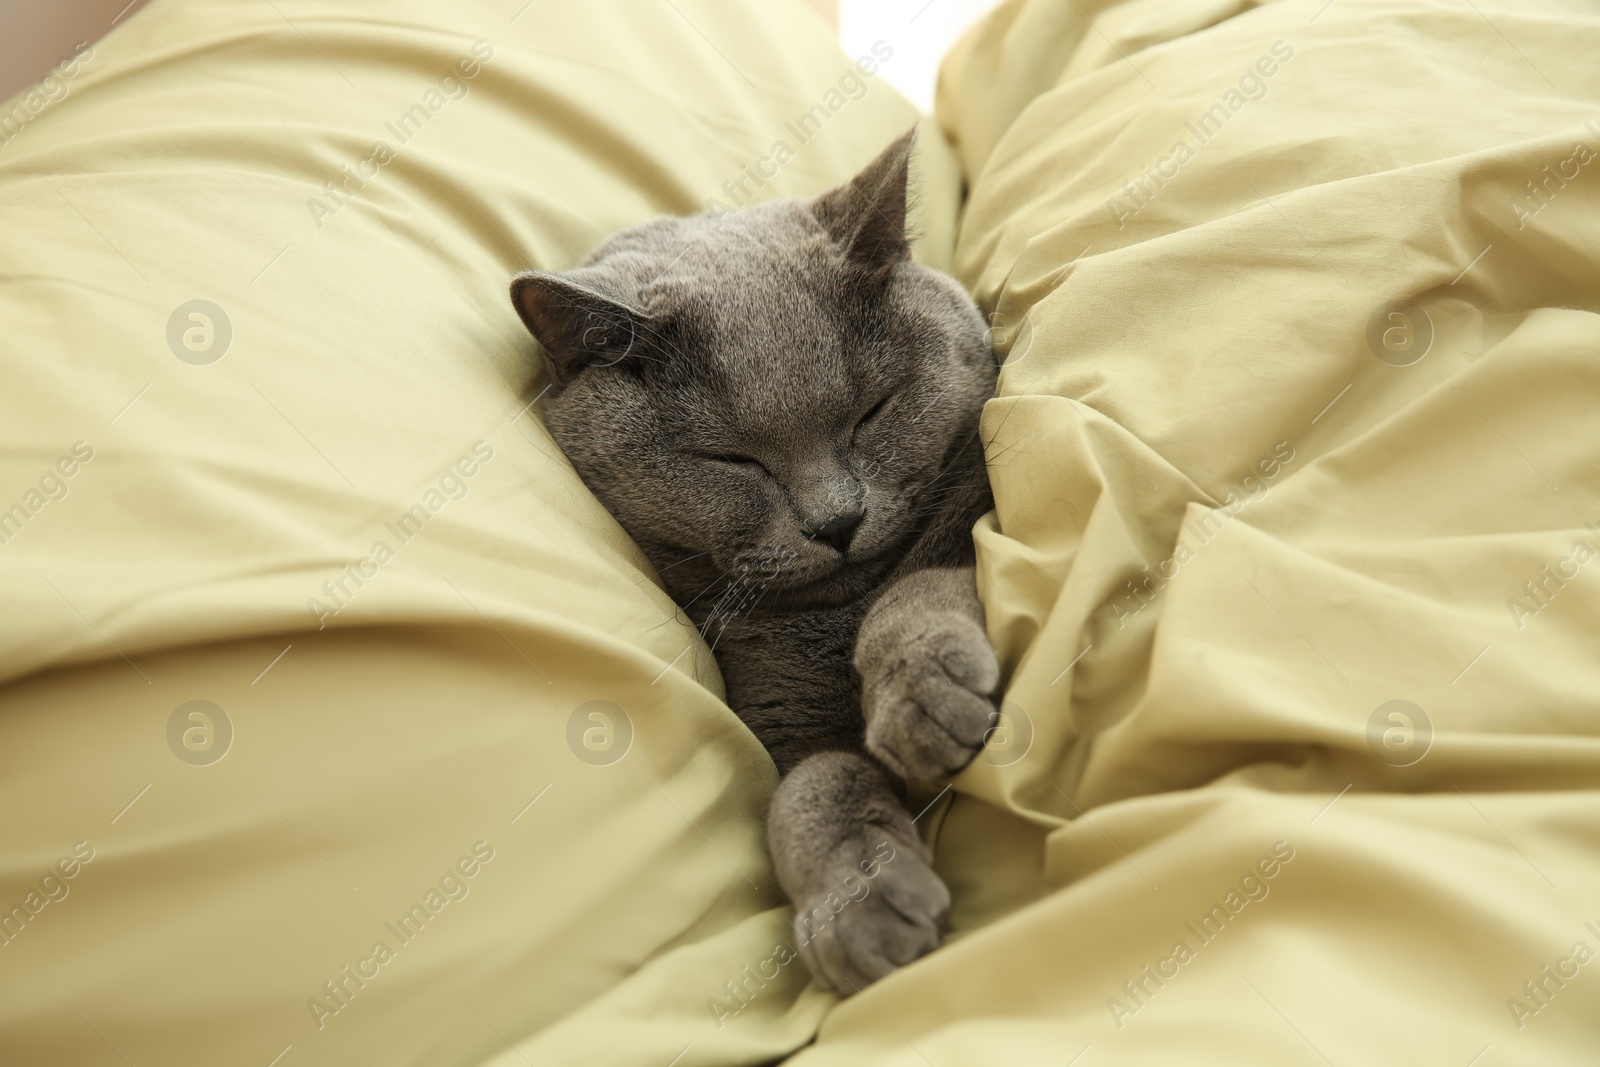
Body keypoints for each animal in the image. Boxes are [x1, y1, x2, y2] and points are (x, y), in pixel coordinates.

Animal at [508, 131, 998, 991]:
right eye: (731, 459)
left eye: (871, 411)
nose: (838, 519)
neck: (836, 615)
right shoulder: (783, 718)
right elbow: (812, 785)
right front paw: (863, 909)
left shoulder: (976, 522)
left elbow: (919, 590)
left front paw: (923, 701)